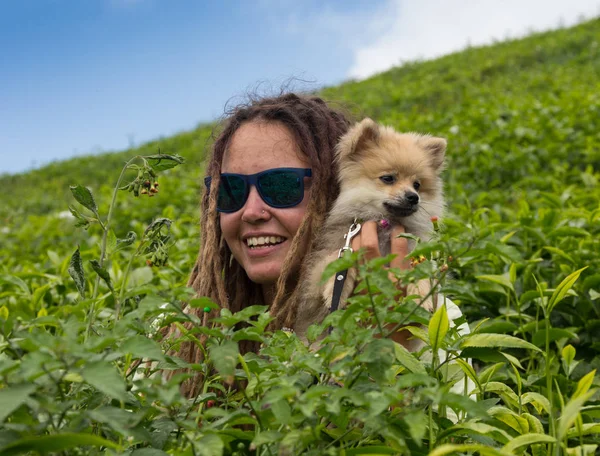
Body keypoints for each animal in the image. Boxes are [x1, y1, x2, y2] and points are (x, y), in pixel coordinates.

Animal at [292, 117, 448, 338]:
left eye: (417, 184)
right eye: (388, 178)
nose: (413, 197)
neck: (385, 225)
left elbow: (422, 268)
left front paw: (420, 295)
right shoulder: (321, 272)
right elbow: (335, 261)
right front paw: (336, 289)